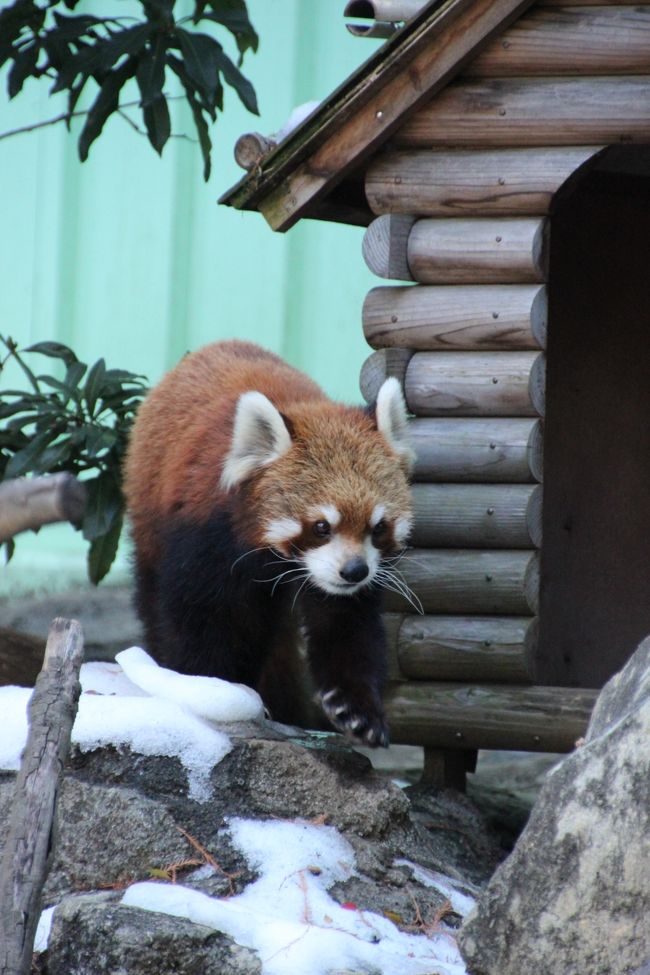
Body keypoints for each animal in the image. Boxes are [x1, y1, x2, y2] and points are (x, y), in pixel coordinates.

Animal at [124, 344, 412, 748]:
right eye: (321, 527)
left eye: (378, 527)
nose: (355, 571)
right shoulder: (206, 539)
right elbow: (201, 619)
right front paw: (210, 687)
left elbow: (348, 624)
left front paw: (358, 710)